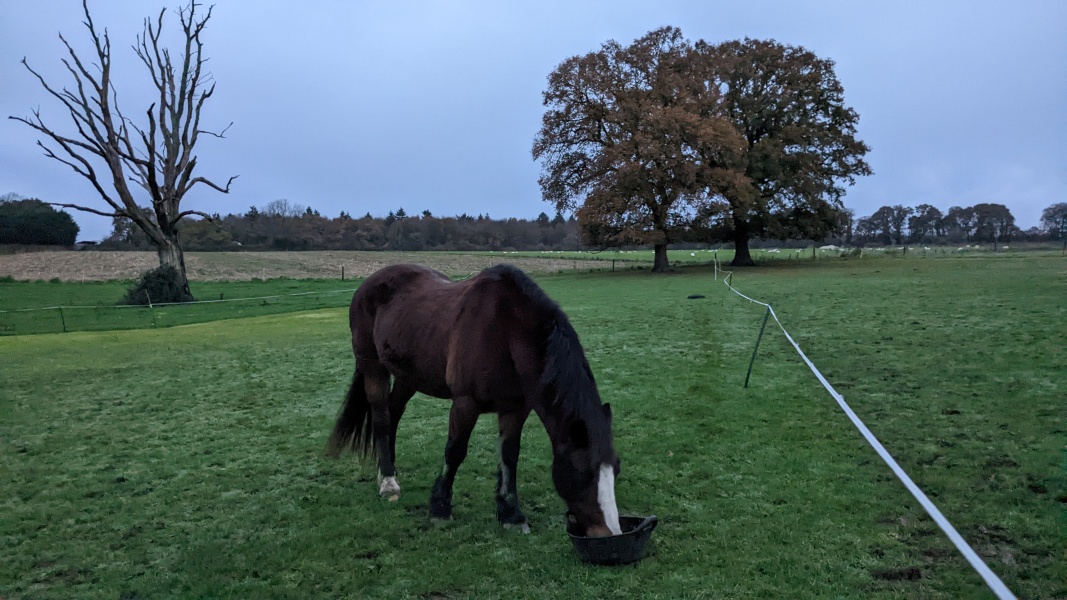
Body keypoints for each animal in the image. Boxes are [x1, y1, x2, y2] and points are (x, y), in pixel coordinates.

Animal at [326, 263, 622, 537]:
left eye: (616, 469)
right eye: (583, 472)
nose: (610, 533)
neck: (506, 332)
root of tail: (370, 282)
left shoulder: (516, 408)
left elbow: (509, 456)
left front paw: (511, 515)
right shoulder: (465, 404)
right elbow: (455, 452)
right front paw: (440, 509)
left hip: (408, 375)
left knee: (394, 412)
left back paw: (387, 469)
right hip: (373, 366)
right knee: (382, 417)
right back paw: (388, 480)